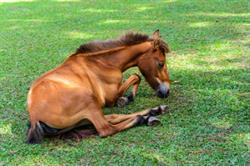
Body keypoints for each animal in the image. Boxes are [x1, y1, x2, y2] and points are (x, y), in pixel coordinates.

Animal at [26, 29, 171, 144]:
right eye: (161, 63)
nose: (166, 92)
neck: (103, 62)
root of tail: (34, 118)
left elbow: (135, 78)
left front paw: (126, 99)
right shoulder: (110, 97)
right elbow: (136, 76)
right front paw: (126, 98)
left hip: (86, 115)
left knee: (112, 117)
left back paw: (155, 111)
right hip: (89, 101)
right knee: (107, 128)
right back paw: (145, 118)